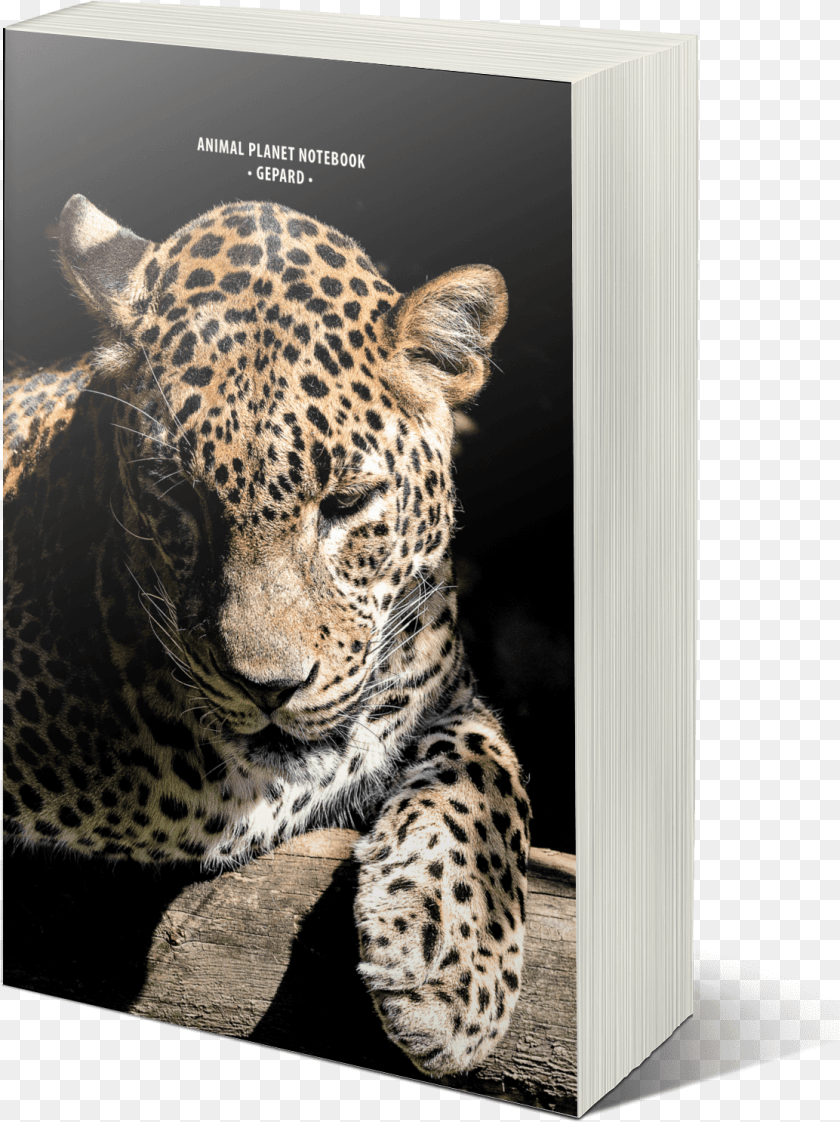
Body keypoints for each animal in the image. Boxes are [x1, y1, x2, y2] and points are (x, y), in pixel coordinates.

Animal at [3, 194, 532, 1076]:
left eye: (347, 502)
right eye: (178, 499)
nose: (269, 687)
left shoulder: (443, 682)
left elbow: (493, 770)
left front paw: (451, 963)